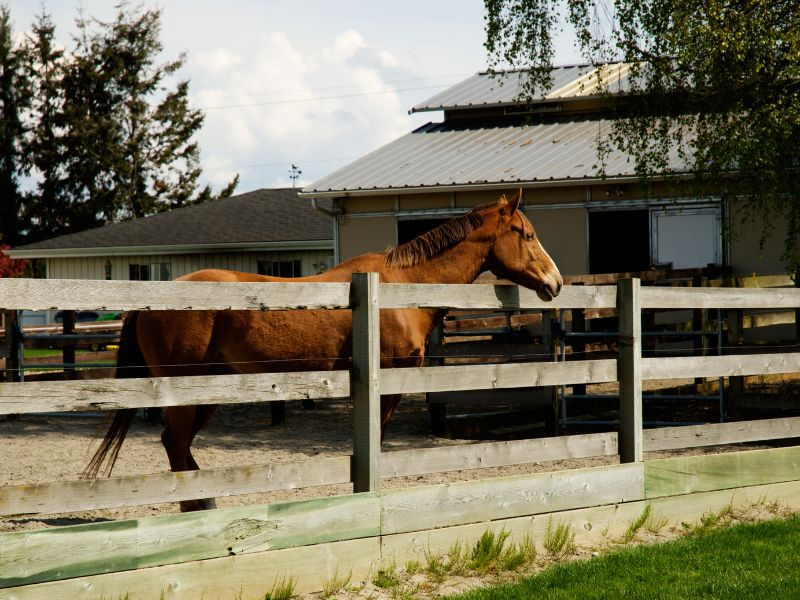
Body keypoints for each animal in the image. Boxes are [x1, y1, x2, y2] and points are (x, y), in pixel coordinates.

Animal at [84, 190, 560, 508]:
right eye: (527, 234)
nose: (555, 282)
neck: (398, 289)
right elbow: (376, 441)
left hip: (211, 391)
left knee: (177, 445)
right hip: (184, 391)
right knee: (175, 443)